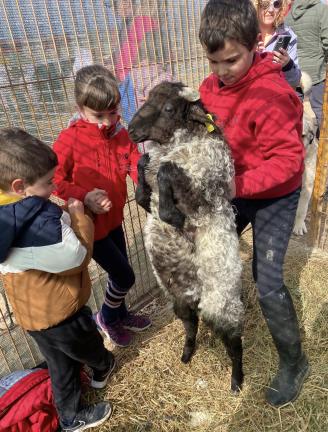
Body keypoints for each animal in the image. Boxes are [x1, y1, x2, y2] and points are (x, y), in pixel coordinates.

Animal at [127, 80, 243, 392]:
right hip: (179, 299)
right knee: (191, 325)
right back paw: (187, 354)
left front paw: (172, 216)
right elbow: (143, 171)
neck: (178, 143)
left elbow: (167, 170)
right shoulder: (151, 180)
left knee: (233, 341)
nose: (130, 130)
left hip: (221, 304)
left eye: (168, 108)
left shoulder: (204, 189)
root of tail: (198, 294)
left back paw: (237, 381)